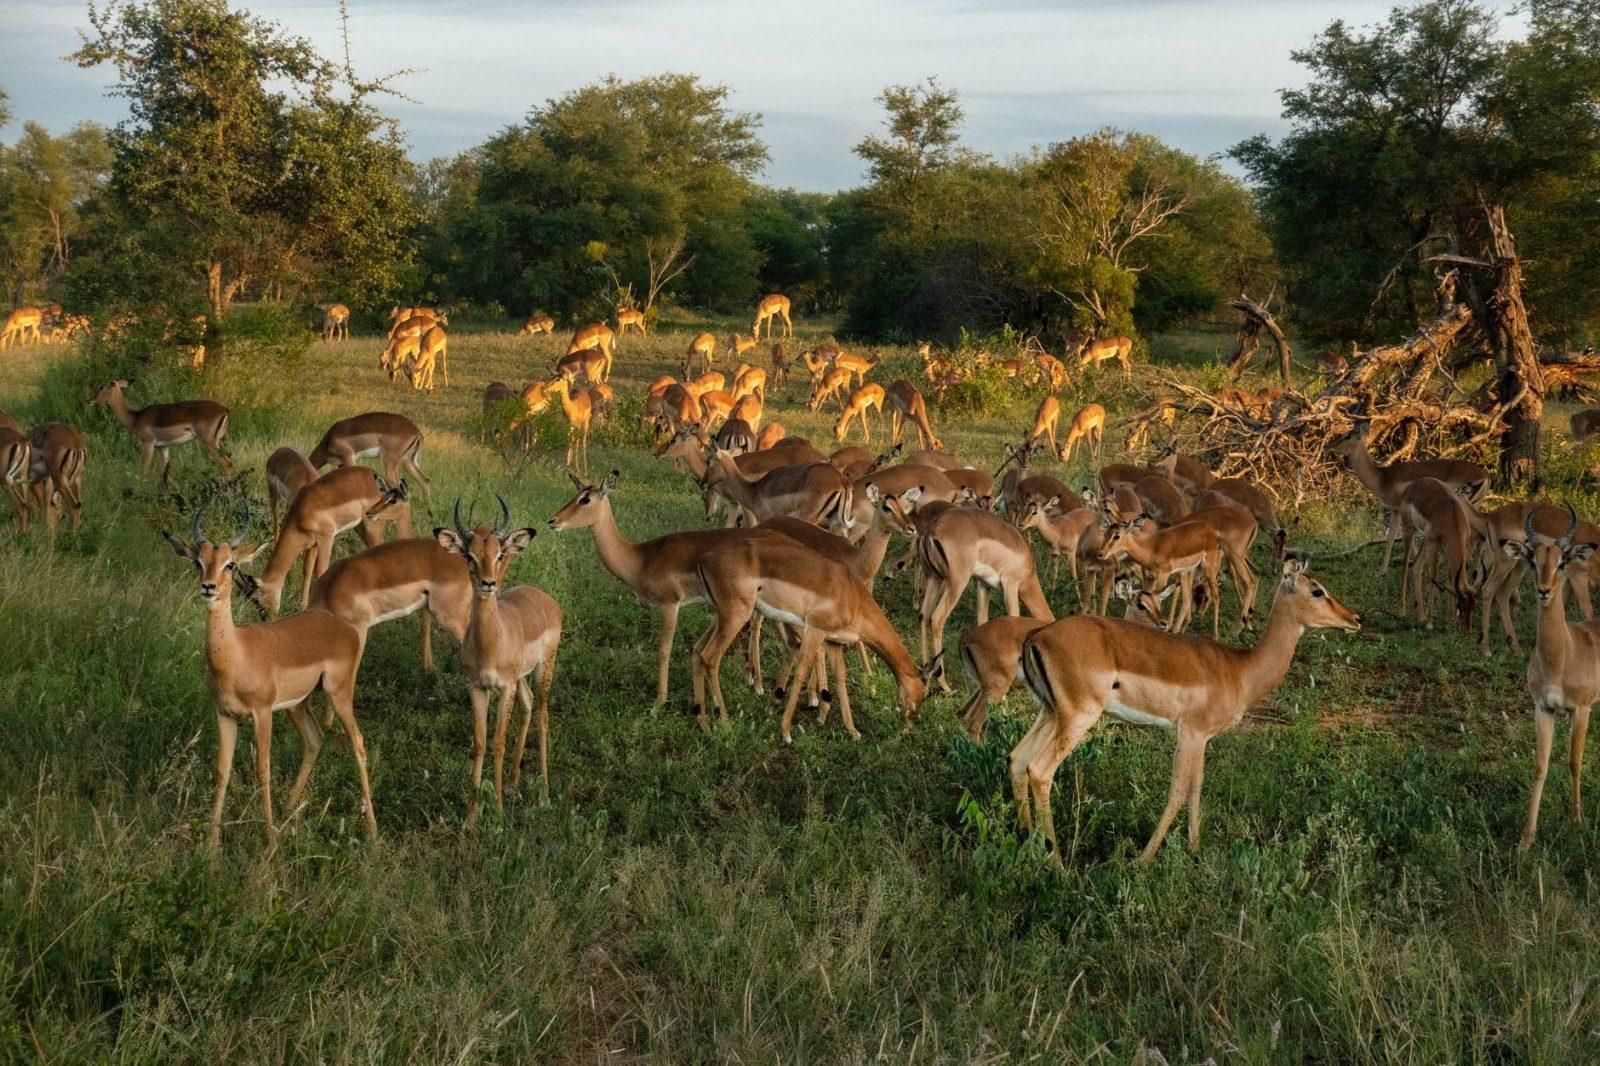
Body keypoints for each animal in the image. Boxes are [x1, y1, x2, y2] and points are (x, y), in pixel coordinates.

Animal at [89, 380, 232, 483]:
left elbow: (144, 470)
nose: (89, 400)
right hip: (216, 442)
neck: (135, 417)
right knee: (229, 460)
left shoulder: (148, 444)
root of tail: (224, 410)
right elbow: (165, 474)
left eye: (101, 387)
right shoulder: (163, 447)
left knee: (225, 465)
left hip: (209, 442)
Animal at [163, 500, 375, 856]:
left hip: (339, 695)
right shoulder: (225, 715)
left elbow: (263, 770)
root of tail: (341, 625)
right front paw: (211, 845)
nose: (208, 587)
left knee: (358, 743)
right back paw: (289, 812)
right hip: (297, 705)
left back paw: (371, 831)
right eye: (198, 561)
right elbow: (221, 771)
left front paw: (269, 844)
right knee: (315, 739)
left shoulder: (262, 714)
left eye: (230, 564)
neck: (236, 656)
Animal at [436, 498, 562, 818]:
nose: (488, 583)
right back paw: (513, 783)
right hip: (521, 679)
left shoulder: (504, 688)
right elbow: (480, 743)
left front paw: (499, 812)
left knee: (542, 716)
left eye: (499, 553)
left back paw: (544, 793)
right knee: (527, 705)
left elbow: (498, 743)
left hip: (544, 670)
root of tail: (545, 599)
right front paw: (471, 815)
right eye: (470, 555)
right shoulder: (478, 687)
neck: (492, 642)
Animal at [1012, 556, 1360, 864]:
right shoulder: (1190, 732)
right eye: (1317, 590)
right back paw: (1057, 862)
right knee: (1040, 771)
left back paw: (1027, 840)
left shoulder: (1203, 738)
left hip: (1051, 713)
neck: (1240, 669)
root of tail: (1036, 636)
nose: (1355, 619)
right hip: (1078, 718)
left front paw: (1194, 850)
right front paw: (1143, 860)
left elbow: (1196, 788)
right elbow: (1178, 792)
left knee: (1017, 760)